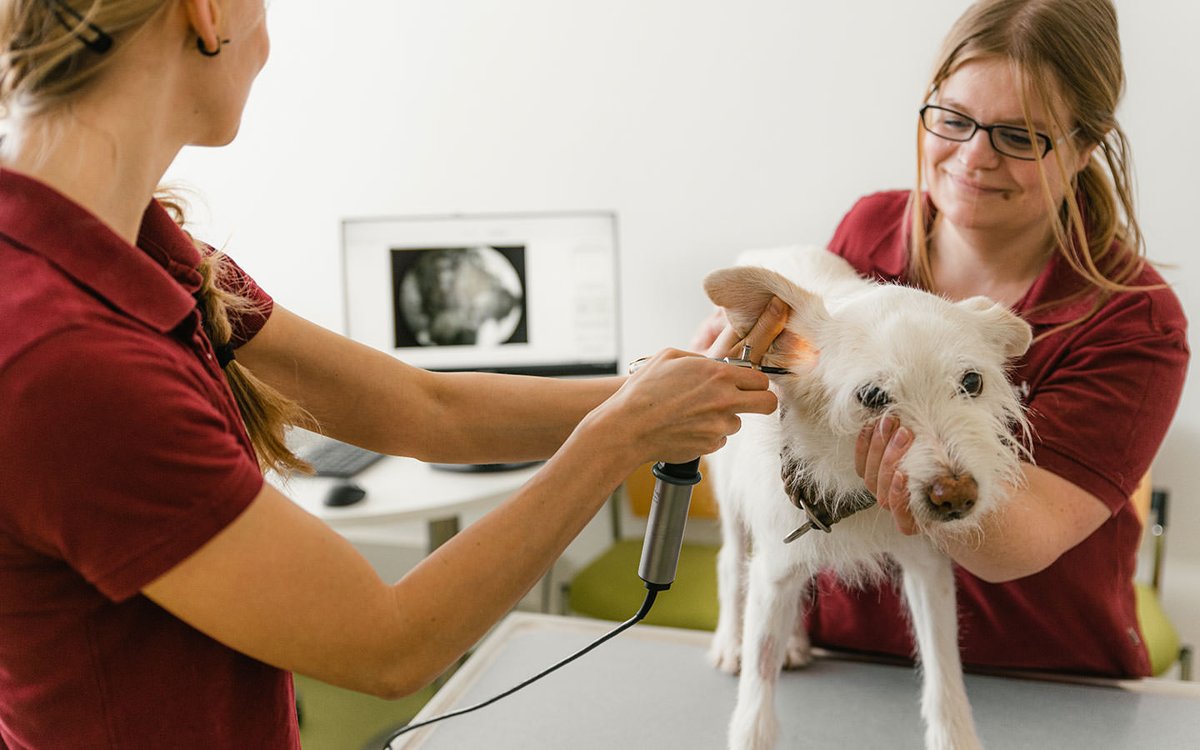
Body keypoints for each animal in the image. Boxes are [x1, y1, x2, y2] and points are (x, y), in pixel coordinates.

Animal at [700, 248, 1032, 748]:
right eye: (873, 396)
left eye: (972, 382)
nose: (955, 497)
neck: (855, 485)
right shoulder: (773, 570)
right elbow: (758, 691)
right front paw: (750, 727)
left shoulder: (928, 570)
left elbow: (943, 670)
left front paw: (953, 736)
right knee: (729, 562)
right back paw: (728, 642)